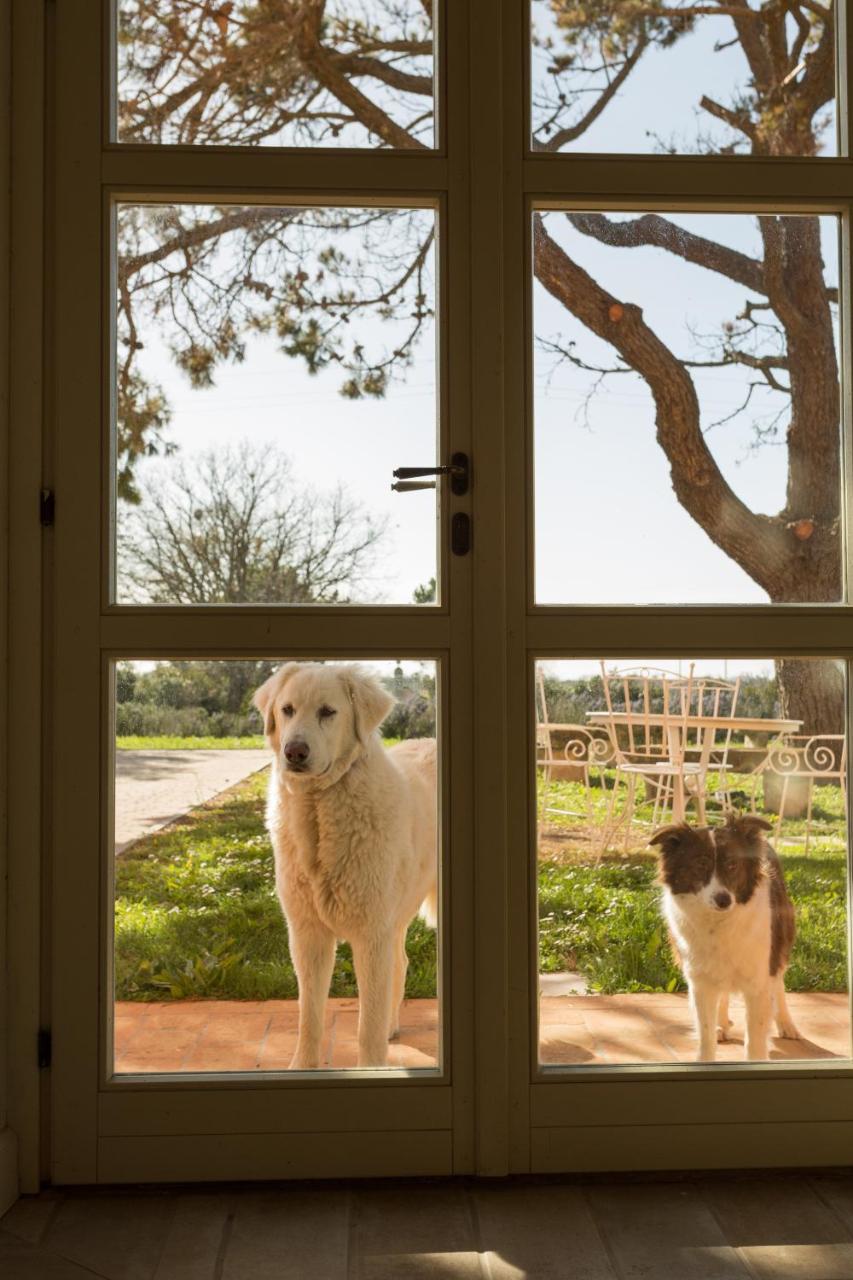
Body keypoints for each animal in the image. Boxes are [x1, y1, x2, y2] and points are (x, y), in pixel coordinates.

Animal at [251, 665, 438, 1064]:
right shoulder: (308, 935)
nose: (294, 752)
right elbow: (309, 1018)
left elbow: (366, 1027)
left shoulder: (370, 935)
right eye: (287, 710)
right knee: (400, 964)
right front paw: (302, 1066)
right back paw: (391, 1028)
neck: (318, 811)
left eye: (327, 712)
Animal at [650, 819, 799, 1059]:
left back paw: (787, 1024)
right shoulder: (700, 982)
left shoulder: (759, 980)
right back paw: (721, 1024)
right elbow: (706, 1035)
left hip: (780, 945)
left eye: (732, 865)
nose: (723, 900)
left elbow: (755, 1040)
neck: (718, 922)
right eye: (701, 864)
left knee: (779, 985)